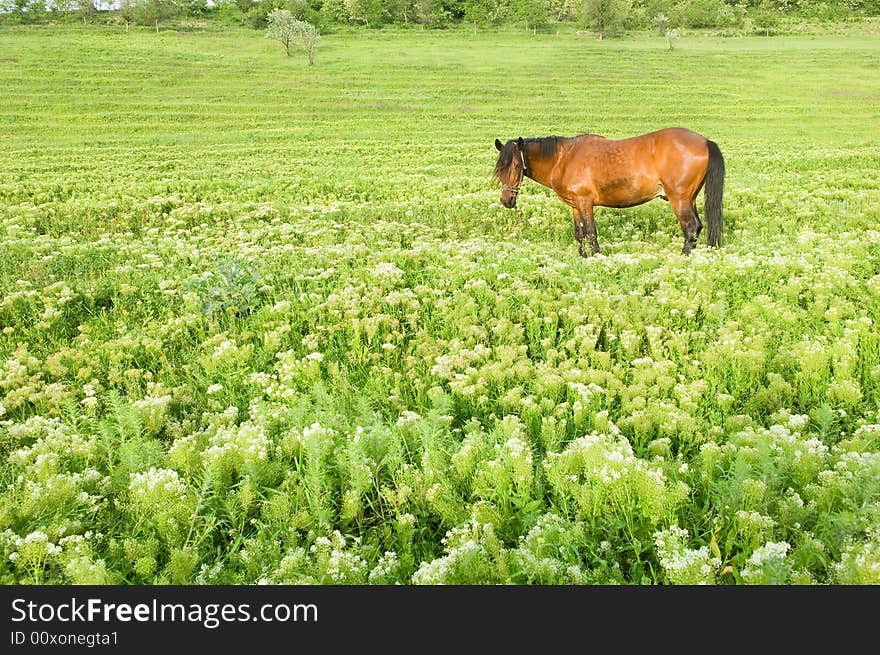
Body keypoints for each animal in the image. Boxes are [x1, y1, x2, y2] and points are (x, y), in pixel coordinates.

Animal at [492, 127, 724, 256]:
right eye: (499, 169)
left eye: (515, 165)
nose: (506, 200)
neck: (564, 158)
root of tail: (705, 141)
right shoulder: (575, 206)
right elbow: (579, 234)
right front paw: (584, 258)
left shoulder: (585, 202)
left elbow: (591, 233)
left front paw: (597, 257)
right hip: (690, 198)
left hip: (680, 199)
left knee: (691, 228)